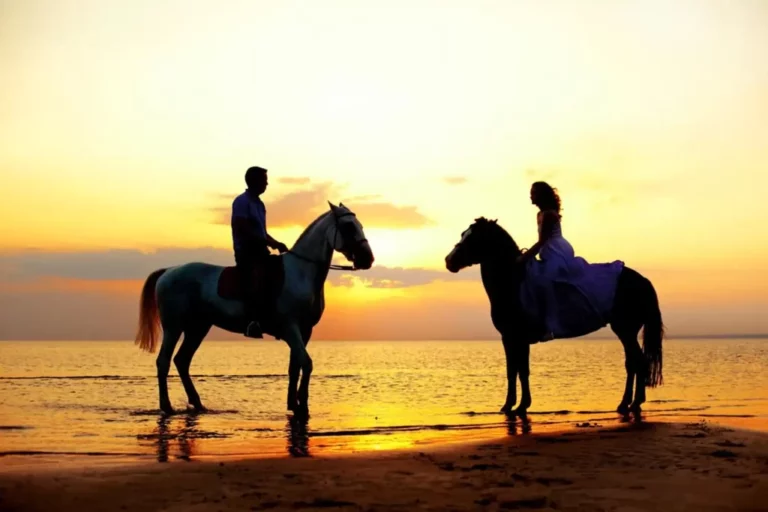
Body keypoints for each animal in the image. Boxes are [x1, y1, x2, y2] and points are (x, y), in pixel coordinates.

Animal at [134, 202, 374, 417]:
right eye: (349, 227)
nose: (368, 259)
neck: (301, 272)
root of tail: (168, 271)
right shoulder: (290, 327)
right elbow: (306, 363)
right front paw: (303, 407)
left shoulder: (305, 331)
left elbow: (295, 365)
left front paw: (294, 404)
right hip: (174, 326)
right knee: (164, 361)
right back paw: (166, 406)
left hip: (198, 327)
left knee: (182, 361)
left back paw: (198, 404)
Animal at [444, 217, 663, 417]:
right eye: (463, 234)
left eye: (473, 238)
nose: (448, 261)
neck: (513, 282)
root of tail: (642, 280)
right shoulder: (516, 339)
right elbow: (519, 370)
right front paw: (517, 405)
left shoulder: (512, 337)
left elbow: (516, 370)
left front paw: (514, 406)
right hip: (627, 331)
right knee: (632, 363)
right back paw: (626, 404)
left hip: (625, 329)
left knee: (638, 362)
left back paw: (634, 403)